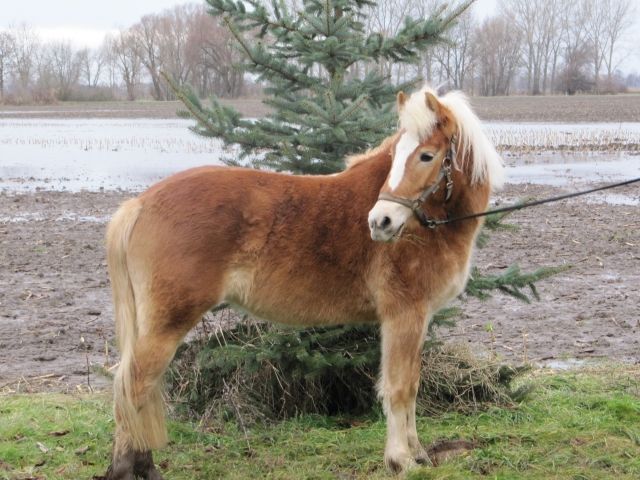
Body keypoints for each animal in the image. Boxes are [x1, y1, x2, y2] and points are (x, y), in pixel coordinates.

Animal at [104, 85, 504, 479]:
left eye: (426, 155)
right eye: (397, 156)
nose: (380, 222)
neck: (424, 226)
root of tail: (140, 204)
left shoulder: (415, 319)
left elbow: (413, 384)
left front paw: (418, 454)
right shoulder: (404, 315)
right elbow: (399, 388)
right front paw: (400, 460)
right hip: (166, 325)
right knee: (133, 386)